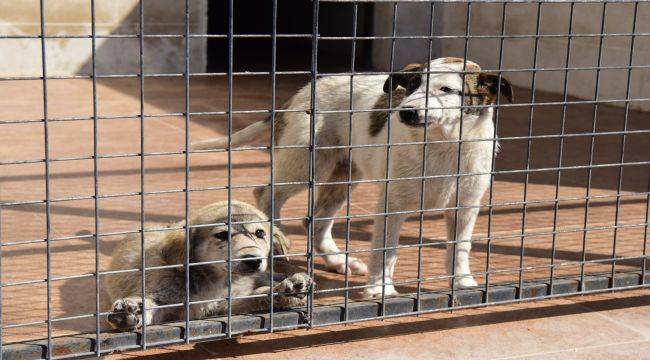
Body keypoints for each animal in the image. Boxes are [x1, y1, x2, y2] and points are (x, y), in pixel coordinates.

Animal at [105, 201, 312, 330]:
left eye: (260, 233)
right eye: (221, 235)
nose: (253, 260)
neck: (212, 282)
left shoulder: (225, 304)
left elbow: (255, 296)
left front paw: (283, 291)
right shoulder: (169, 305)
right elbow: (150, 303)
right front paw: (131, 310)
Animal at [191, 57, 512, 298]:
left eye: (447, 89)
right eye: (411, 87)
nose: (405, 113)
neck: (444, 143)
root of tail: (301, 91)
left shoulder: (466, 207)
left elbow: (460, 248)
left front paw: (463, 282)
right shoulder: (392, 205)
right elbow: (386, 251)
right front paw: (380, 288)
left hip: (344, 175)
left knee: (315, 220)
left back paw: (337, 261)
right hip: (307, 164)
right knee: (267, 193)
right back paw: (277, 246)